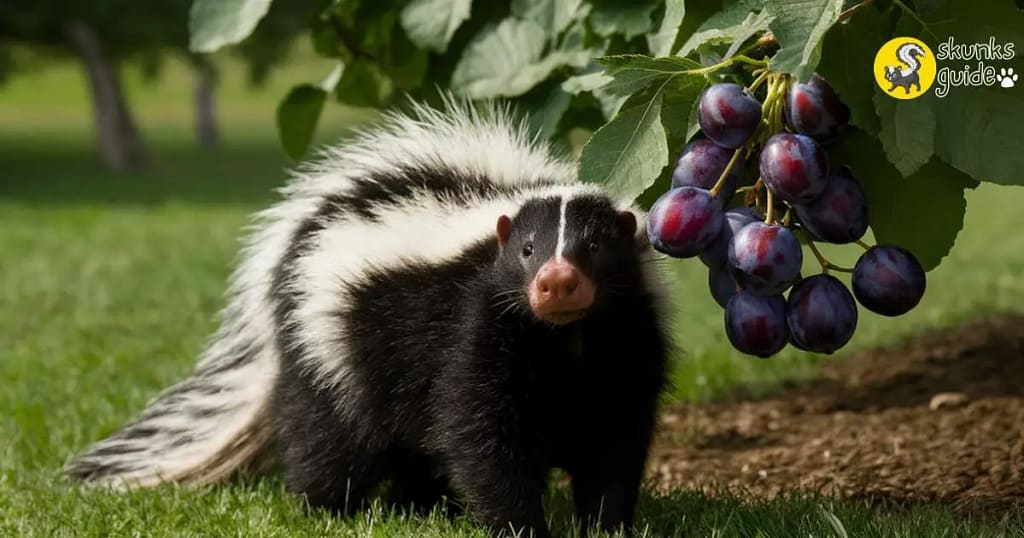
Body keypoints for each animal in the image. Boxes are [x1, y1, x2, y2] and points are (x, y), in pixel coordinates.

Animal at [66, 101, 671, 536]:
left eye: (595, 248)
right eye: (526, 251)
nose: (556, 281)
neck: (565, 339)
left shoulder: (624, 339)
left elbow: (615, 436)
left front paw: (606, 525)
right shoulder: (476, 330)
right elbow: (484, 439)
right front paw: (520, 526)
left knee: (410, 447)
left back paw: (422, 508)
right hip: (333, 346)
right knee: (330, 435)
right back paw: (328, 510)